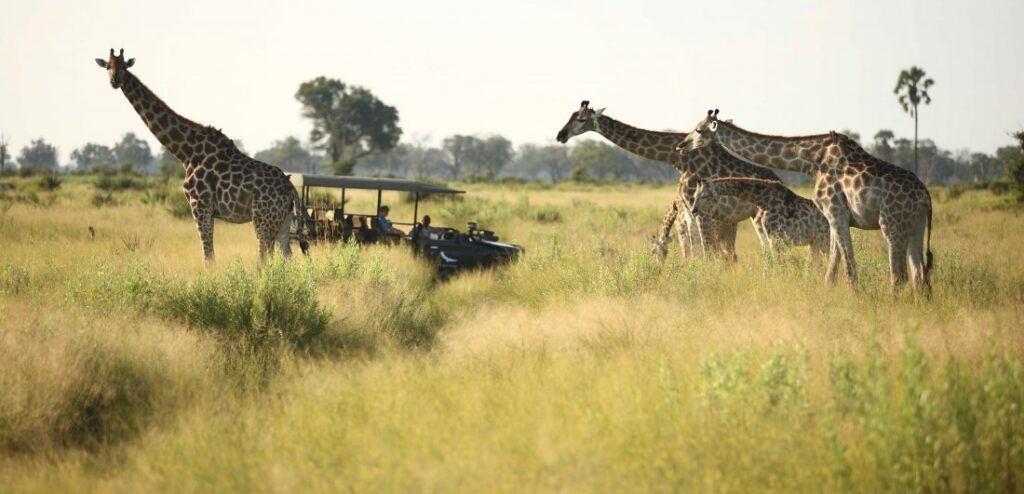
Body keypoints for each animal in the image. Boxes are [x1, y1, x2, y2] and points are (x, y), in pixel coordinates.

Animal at [94, 49, 303, 262]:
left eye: (123, 66)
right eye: (108, 66)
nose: (114, 81)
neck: (186, 152)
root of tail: (291, 189)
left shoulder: (199, 205)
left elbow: (208, 256)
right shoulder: (206, 209)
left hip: (263, 219)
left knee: (264, 257)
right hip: (283, 221)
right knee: (287, 257)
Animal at [557, 100, 778, 262]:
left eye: (581, 119)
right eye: (571, 115)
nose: (560, 135)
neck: (678, 159)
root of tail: (779, 180)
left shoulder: (699, 211)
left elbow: (703, 253)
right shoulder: (689, 211)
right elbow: (695, 254)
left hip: (757, 217)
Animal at [684, 177, 827, 260]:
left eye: (704, 196)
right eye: (695, 195)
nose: (693, 210)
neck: (763, 201)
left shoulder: (776, 238)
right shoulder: (771, 237)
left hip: (824, 239)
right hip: (815, 242)